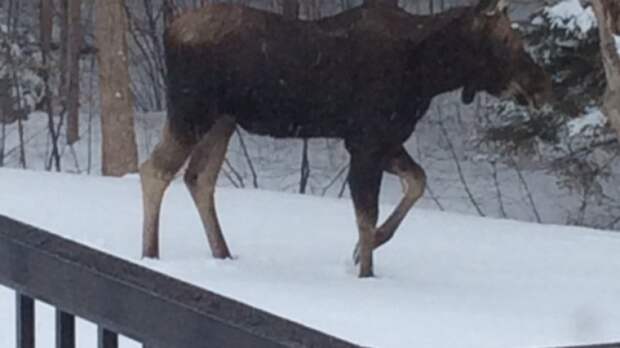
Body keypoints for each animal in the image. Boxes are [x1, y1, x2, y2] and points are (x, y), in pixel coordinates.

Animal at [142, 0, 552, 278]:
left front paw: (362, 250)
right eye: (505, 39)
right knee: (154, 170)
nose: (541, 84)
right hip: (191, 112)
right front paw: (366, 272)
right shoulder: (367, 141)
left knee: (198, 177)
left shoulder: (382, 139)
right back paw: (150, 254)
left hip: (222, 121)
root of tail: (169, 32)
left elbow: (416, 181)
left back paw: (222, 254)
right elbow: (366, 213)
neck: (428, 73)